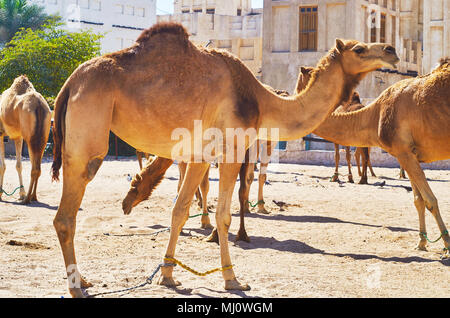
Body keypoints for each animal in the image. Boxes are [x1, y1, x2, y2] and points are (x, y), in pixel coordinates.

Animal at [51, 21, 400, 296]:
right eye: (359, 49)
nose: (391, 49)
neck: (261, 101)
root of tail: (69, 83)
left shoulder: (200, 156)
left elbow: (179, 211)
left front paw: (168, 276)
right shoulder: (231, 150)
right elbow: (224, 215)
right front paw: (232, 279)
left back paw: (85, 280)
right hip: (88, 135)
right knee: (65, 215)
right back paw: (77, 286)